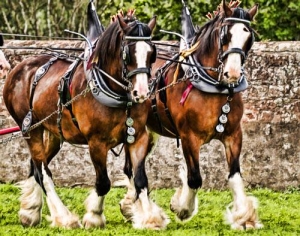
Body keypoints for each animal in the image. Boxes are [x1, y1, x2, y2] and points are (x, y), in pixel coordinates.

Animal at [2, 3, 166, 229]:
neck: (113, 90)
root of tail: (19, 67)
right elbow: (103, 182)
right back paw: (64, 217)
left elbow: (141, 179)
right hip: (30, 129)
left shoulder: (138, 136)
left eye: (152, 53)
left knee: (35, 166)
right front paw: (94, 217)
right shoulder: (96, 142)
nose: (141, 93)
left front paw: (150, 218)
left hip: (53, 131)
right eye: (127, 53)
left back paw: (30, 211)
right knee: (43, 172)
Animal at [123, 0, 262, 230]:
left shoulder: (233, 134)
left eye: (248, 38)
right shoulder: (189, 137)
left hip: (149, 133)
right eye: (225, 35)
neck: (213, 88)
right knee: (131, 169)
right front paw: (182, 208)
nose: (232, 74)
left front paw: (244, 216)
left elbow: (234, 175)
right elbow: (194, 177)